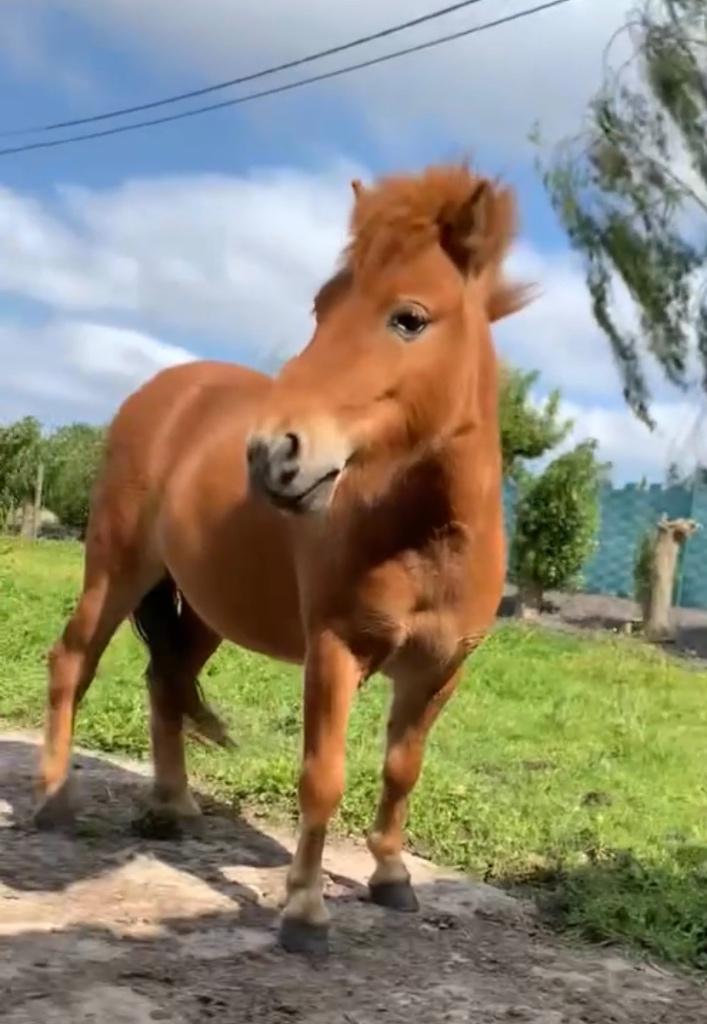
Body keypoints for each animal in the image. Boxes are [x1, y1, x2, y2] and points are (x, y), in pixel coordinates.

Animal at [34, 162, 531, 954]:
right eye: (321, 307)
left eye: (409, 318)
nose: (272, 454)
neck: (424, 534)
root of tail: (165, 389)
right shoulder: (334, 648)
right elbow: (321, 777)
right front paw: (303, 912)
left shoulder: (440, 669)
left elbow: (402, 770)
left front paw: (391, 878)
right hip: (115, 569)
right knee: (72, 662)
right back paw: (54, 800)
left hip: (203, 606)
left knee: (165, 679)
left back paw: (172, 806)